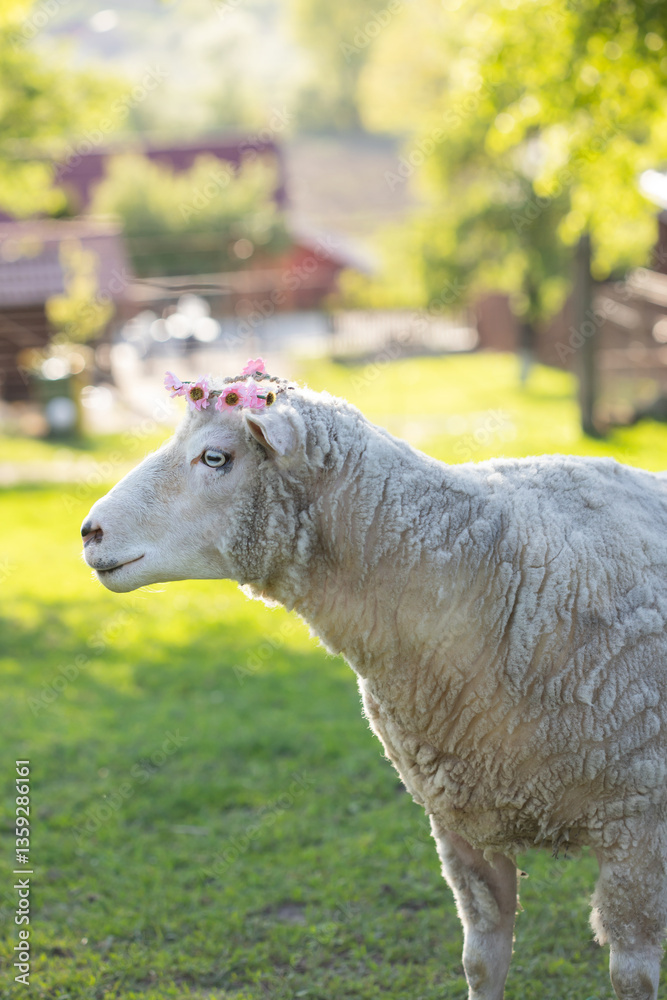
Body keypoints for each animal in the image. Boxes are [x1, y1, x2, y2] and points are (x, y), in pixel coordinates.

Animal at [81, 365, 667, 1000]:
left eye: (216, 457)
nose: (89, 531)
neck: (493, 578)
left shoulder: (639, 826)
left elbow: (632, 977)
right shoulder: (461, 824)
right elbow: (482, 960)